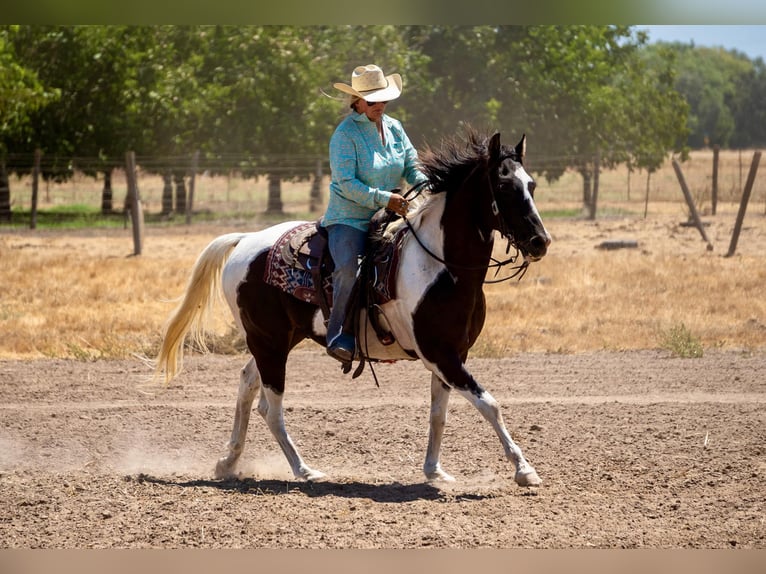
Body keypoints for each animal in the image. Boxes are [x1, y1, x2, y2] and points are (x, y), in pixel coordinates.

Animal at [155, 128, 551, 487]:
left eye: (531, 185)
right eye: (504, 187)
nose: (540, 241)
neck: (441, 267)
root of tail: (246, 241)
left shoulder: (454, 354)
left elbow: (438, 413)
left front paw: (434, 471)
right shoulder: (441, 354)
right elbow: (489, 403)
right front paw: (524, 470)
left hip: (276, 340)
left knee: (247, 385)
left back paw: (228, 462)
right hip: (269, 343)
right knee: (271, 406)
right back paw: (304, 470)